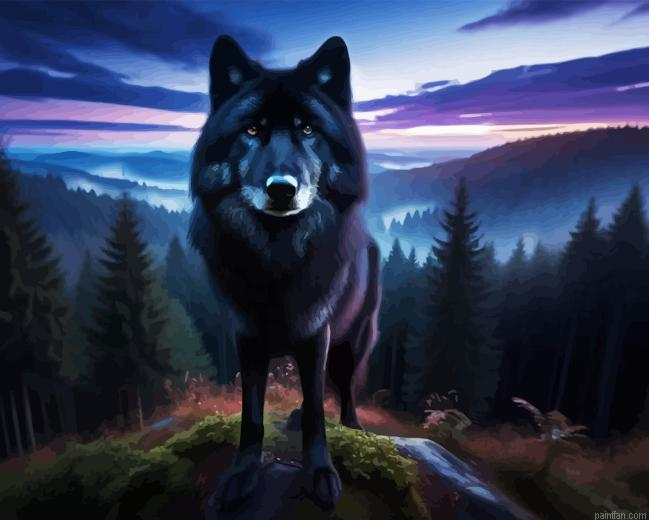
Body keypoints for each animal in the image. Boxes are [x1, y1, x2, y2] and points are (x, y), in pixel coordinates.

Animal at [189, 35, 380, 511]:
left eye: (307, 130)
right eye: (253, 130)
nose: (281, 189)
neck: (277, 258)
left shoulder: (316, 335)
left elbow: (315, 411)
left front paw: (320, 474)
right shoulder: (247, 340)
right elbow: (252, 415)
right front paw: (242, 475)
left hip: (352, 339)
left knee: (343, 387)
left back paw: (353, 426)